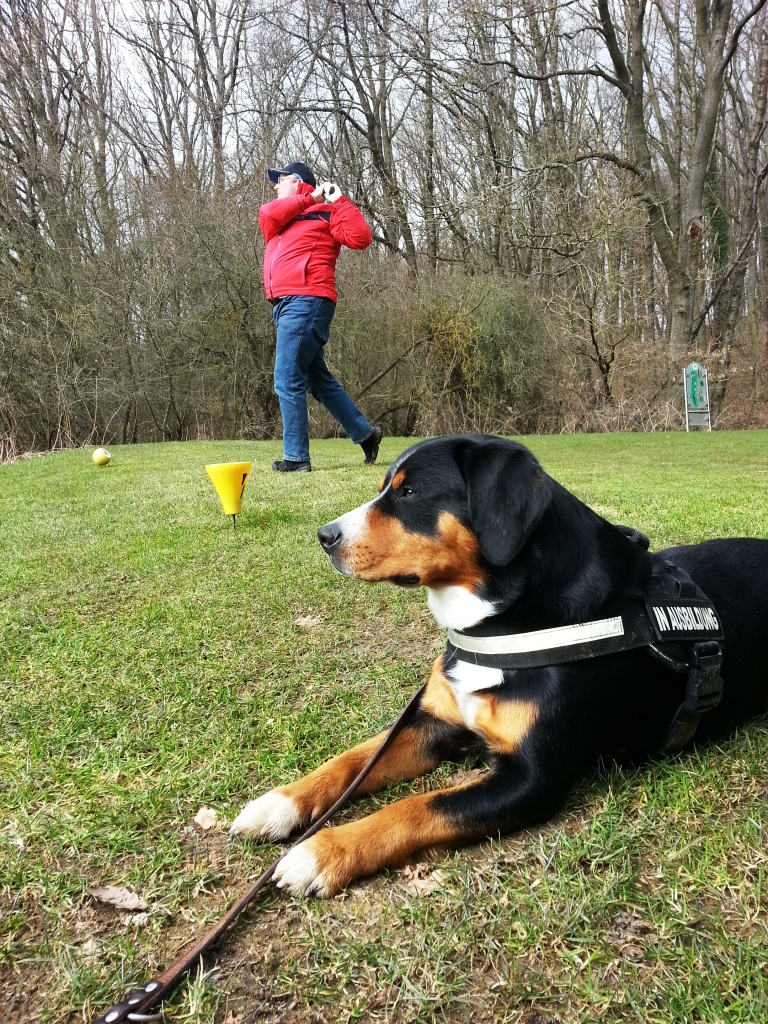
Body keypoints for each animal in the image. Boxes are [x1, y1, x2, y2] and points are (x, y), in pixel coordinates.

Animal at [230, 434, 768, 897]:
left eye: (410, 492)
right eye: (387, 487)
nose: (324, 536)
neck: (499, 625)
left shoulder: (531, 778)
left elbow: (417, 807)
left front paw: (323, 852)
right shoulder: (434, 721)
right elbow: (354, 759)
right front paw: (278, 804)